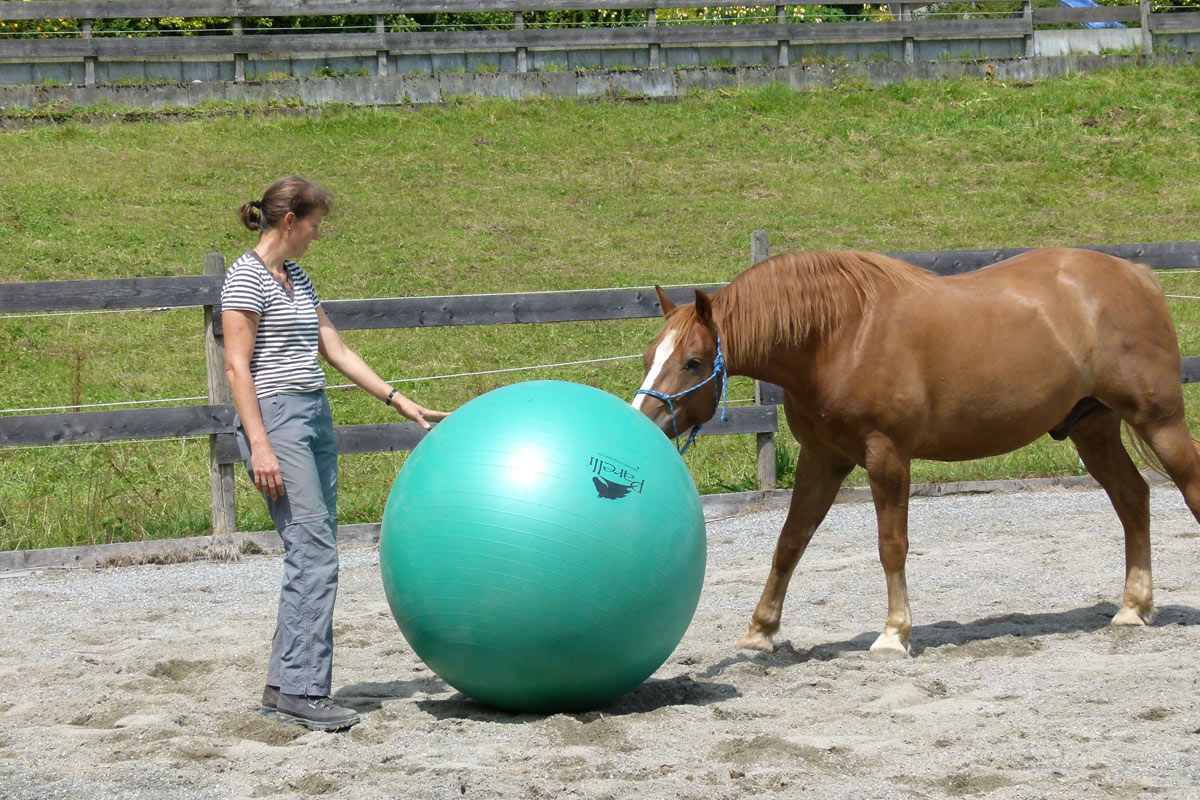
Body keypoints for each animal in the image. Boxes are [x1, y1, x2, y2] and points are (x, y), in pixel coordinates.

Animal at [632, 247, 1200, 660]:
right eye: (649, 355)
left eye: (692, 361)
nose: (642, 420)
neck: (839, 336)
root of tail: (1137, 275)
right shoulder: (822, 459)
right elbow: (789, 542)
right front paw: (760, 631)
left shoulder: (887, 456)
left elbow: (891, 545)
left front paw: (893, 634)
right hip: (1094, 428)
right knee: (1133, 498)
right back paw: (1133, 607)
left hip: (1160, 421)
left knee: (1187, 486)